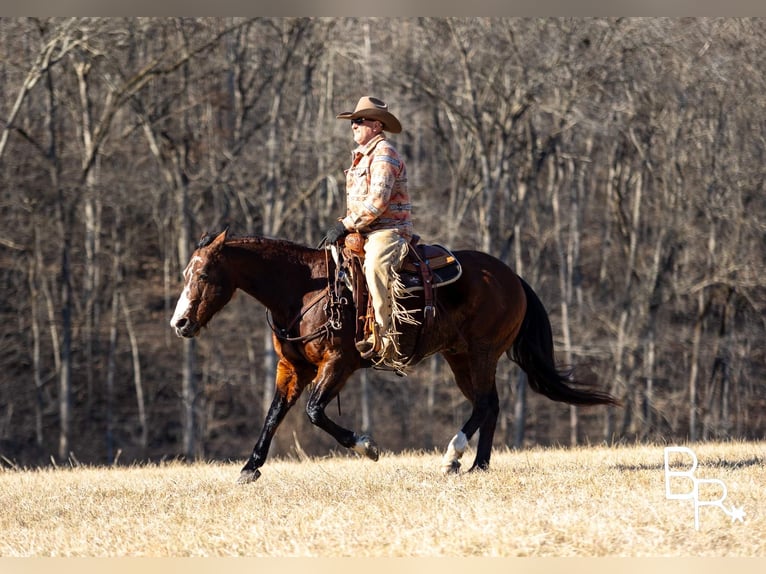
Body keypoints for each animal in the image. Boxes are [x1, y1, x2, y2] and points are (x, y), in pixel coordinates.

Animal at [171, 230, 620, 486]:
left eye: (205, 274)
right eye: (186, 273)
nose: (180, 323)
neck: (303, 290)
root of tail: (513, 278)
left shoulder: (339, 364)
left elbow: (315, 412)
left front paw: (367, 446)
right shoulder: (292, 368)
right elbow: (275, 413)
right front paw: (250, 467)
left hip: (481, 353)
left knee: (485, 404)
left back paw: (453, 456)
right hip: (460, 357)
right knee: (488, 405)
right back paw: (477, 465)